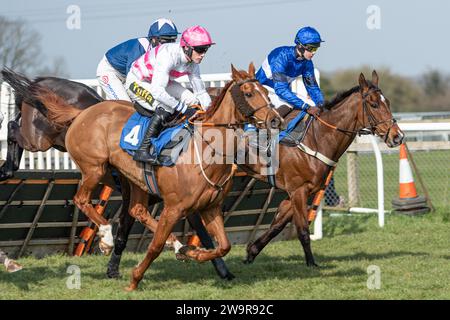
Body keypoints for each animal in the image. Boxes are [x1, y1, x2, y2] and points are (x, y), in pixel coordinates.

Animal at [31, 63, 284, 290]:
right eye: (249, 93)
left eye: (266, 91)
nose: (275, 120)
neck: (206, 148)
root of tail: (82, 113)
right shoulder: (173, 208)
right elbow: (155, 246)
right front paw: (133, 281)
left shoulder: (210, 207)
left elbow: (224, 245)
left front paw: (194, 253)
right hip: (95, 168)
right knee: (82, 199)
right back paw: (106, 238)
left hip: (135, 181)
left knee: (137, 210)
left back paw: (178, 245)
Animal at [243, 71, 404, 266]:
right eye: (373, 104)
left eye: (387, 102)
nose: (398, 136)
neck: (316, 137)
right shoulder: (298, 190)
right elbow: (303, 230)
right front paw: (311, 264)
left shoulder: (300, 191)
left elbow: (278, 224)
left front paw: (252, 251)